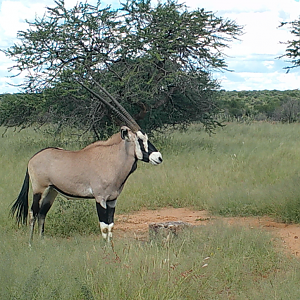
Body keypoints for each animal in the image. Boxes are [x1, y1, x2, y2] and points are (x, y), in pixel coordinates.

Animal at [11, 81, 162, 244]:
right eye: (140, 139)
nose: (159, 157)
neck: (112, 160)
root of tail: (32, 158)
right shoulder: (100, 199)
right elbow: (104, 227)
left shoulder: (112, 200)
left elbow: (111, 227)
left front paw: (110, 247)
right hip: (39, 189)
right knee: (33, 213)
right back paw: (31, 244)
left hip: (52, 191)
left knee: (42, 213)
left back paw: (42, 242)